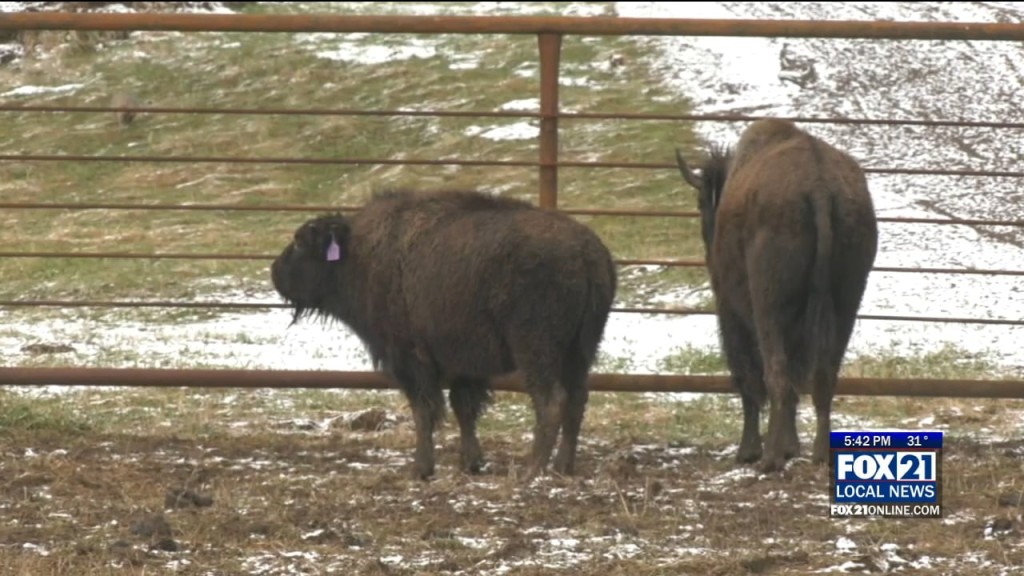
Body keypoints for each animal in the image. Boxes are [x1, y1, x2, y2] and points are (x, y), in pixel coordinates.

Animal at [270, 188, 618, 481]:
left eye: (300, 242)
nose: (274, 271)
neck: (360, 252)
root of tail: (587, 253)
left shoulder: (411, 358)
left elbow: (424, 410)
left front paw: (421, 468)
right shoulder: (465, 365)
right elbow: (463, 409)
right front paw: (471, 463)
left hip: (536, 350)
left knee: (551, 401)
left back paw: (532, 471)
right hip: (580, 350)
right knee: (577, 399)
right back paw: (562, 467)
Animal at [674, 119, 879, 473]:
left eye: (701, 204)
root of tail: (820, 187)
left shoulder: (731, 312)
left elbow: (747, 377)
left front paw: (750, 451)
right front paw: (791, 447)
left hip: (766, 307)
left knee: (776, 374)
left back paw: (769, 459)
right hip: (846, 300)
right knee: (824, 375)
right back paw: (820, 454)